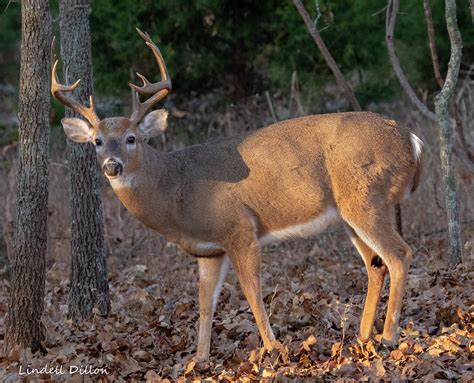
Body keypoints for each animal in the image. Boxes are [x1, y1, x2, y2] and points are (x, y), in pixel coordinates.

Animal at [51, 29, 422, 364]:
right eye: (97, 141)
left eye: (131, 139)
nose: (112, 166)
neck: (177, 190)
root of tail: (413, 141)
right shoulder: (209, 250)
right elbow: (205, 303)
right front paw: (198, 360)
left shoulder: (239, 227)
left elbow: (251, 290)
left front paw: (274, 348)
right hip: (351, 213)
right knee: (376, 264)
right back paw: (362, 336)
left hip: (367, 198)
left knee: (399, 254)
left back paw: (388, 336)